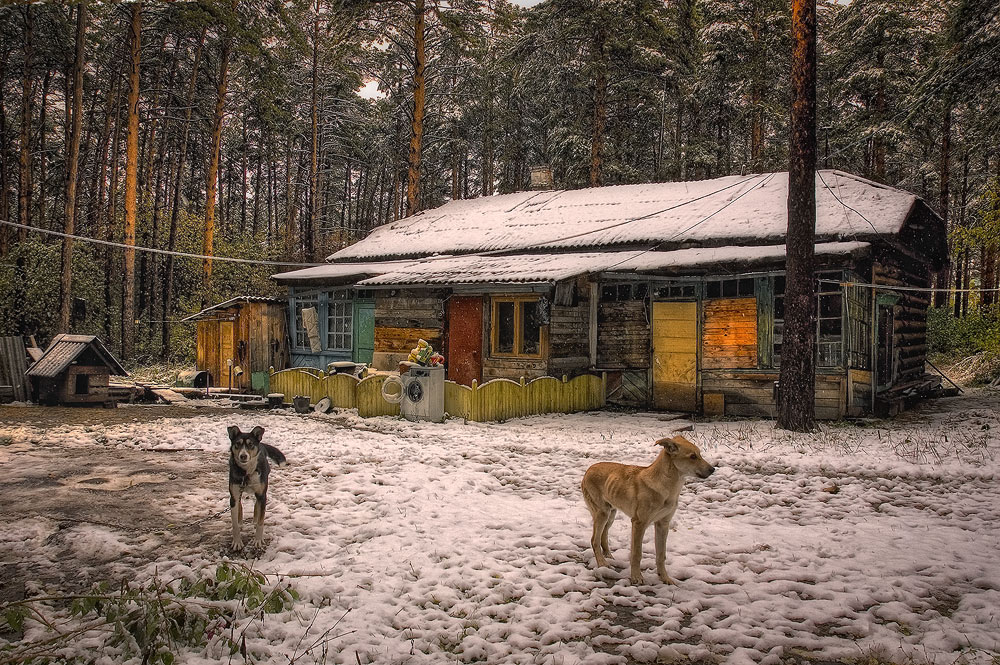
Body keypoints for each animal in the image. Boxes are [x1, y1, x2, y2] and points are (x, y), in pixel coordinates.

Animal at [584, 438, 716, 584]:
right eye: (692, 456)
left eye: (700, 454)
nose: (713, 469)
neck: (667, 488)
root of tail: (589, 469)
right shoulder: (639, 523)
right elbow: (636, 553)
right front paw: (636, 577)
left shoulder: (663, 524)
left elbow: (661, 555)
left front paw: (664, 578)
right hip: (602, 513)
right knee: (594, 540)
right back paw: (602, 563)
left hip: (611, 514)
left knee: (603, 535)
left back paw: (608, 555)